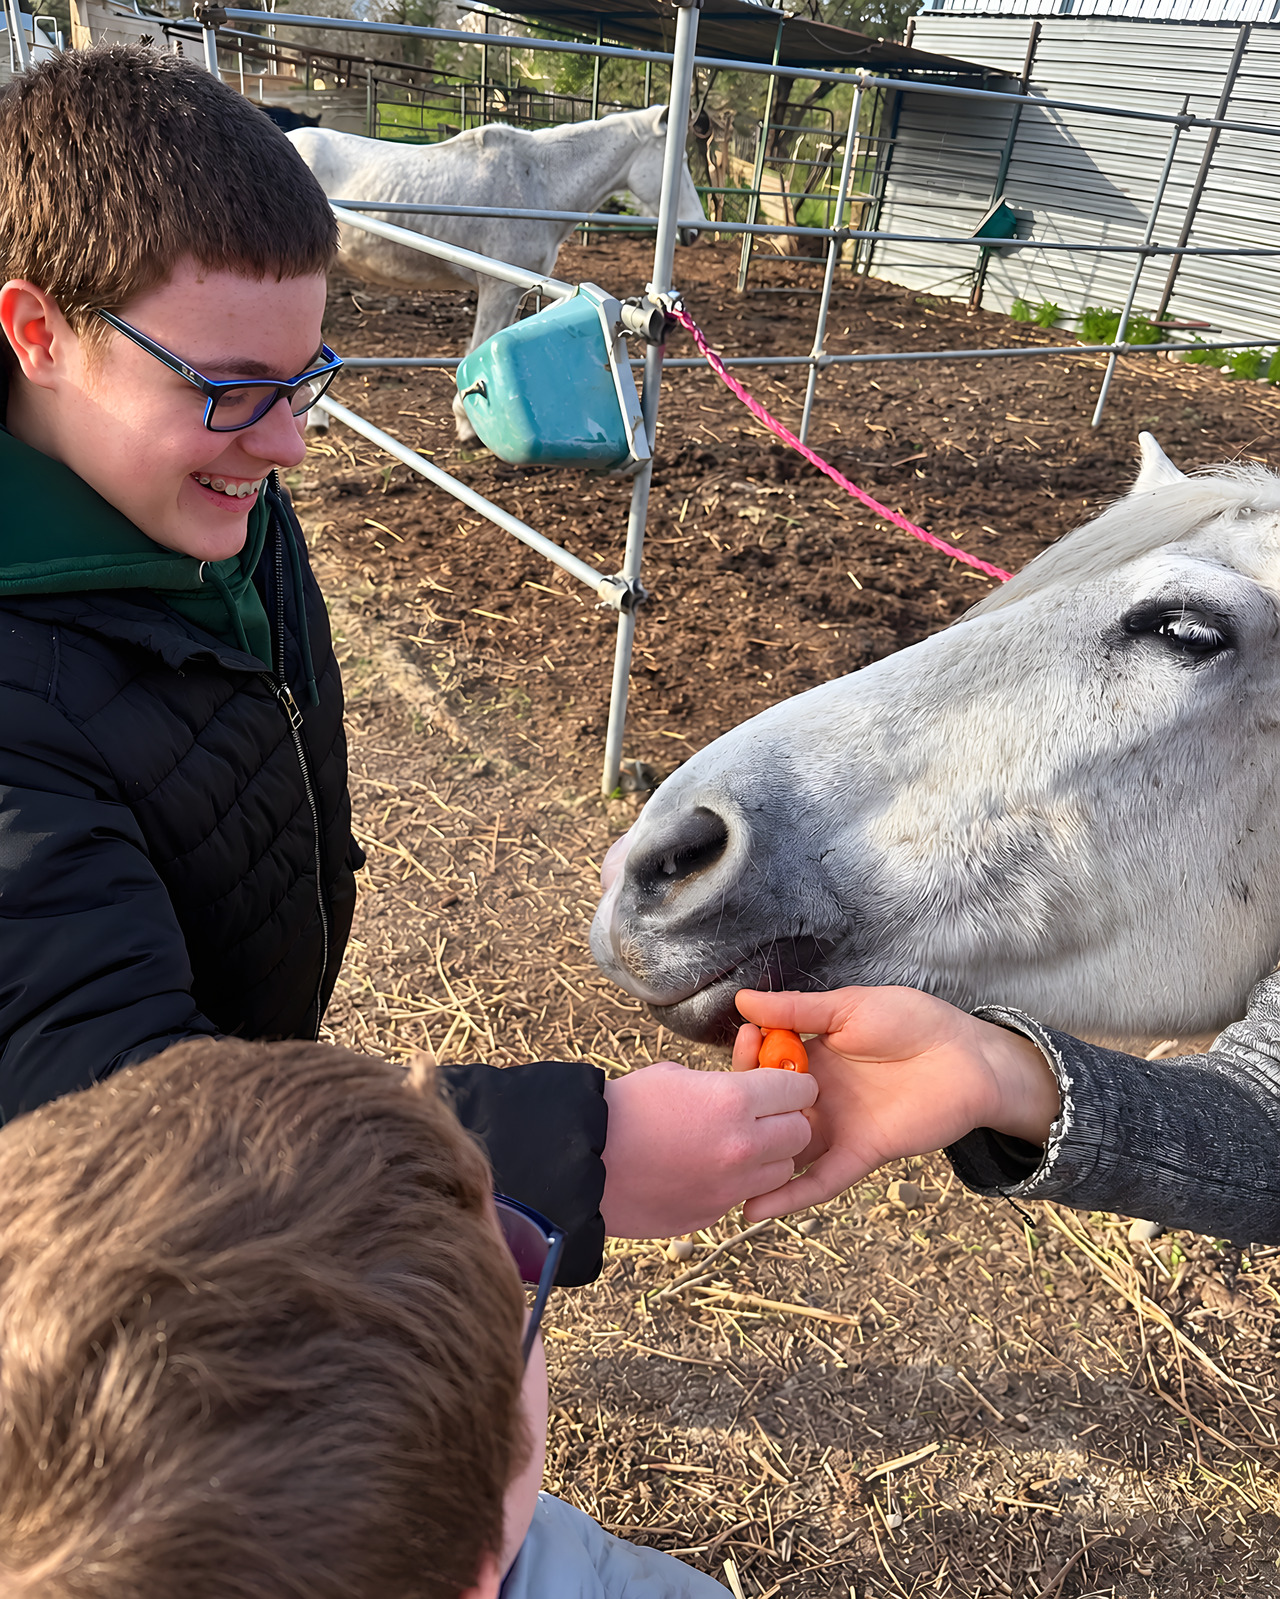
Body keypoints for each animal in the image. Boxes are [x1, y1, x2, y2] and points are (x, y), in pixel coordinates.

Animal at [288, 106, 706, 442]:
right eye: (678, 162)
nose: (695, 229)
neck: (538, 183)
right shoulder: (497, 288)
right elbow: (479, 344)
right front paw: (467, 424)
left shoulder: (514, 290)